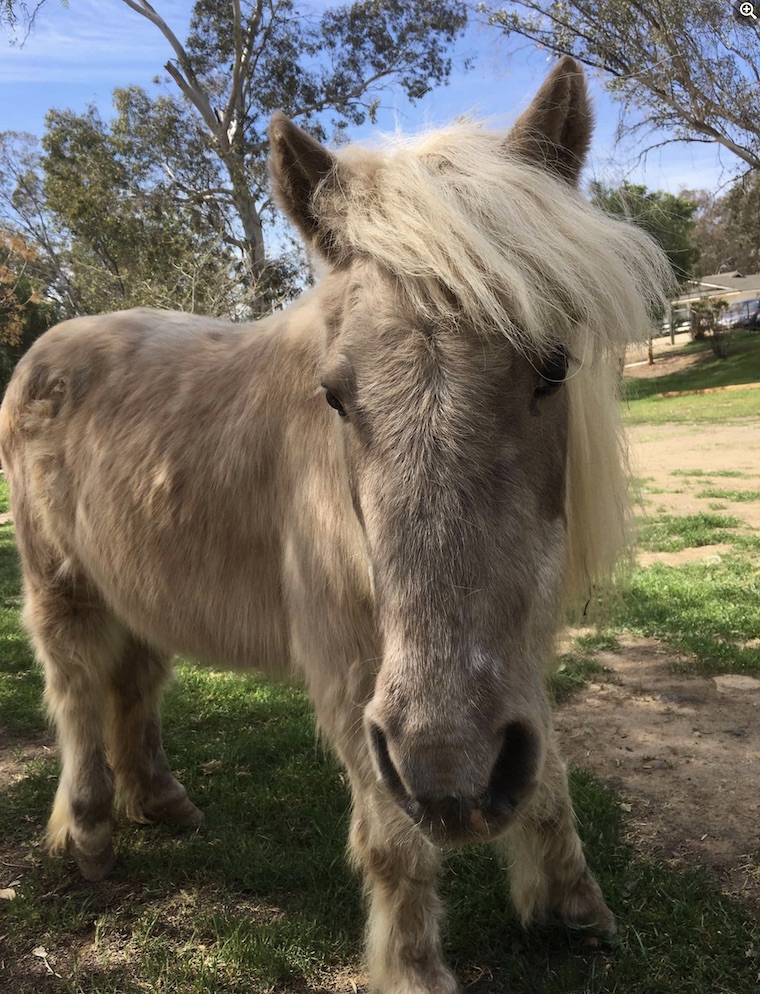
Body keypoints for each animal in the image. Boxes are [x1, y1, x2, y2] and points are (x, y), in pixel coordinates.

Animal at [0, 58, 672, 993]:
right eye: (334, 395)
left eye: (552, 368)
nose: (450, 776)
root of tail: (44, 349)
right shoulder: (356, 679)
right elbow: (394, 842)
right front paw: (414, 971)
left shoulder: (515, 653)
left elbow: (548, 777)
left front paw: (575, 907)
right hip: (60, 584)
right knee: (72, 692)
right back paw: (91, 835)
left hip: (138, 588)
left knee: (132, 682)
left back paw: (160, 803)